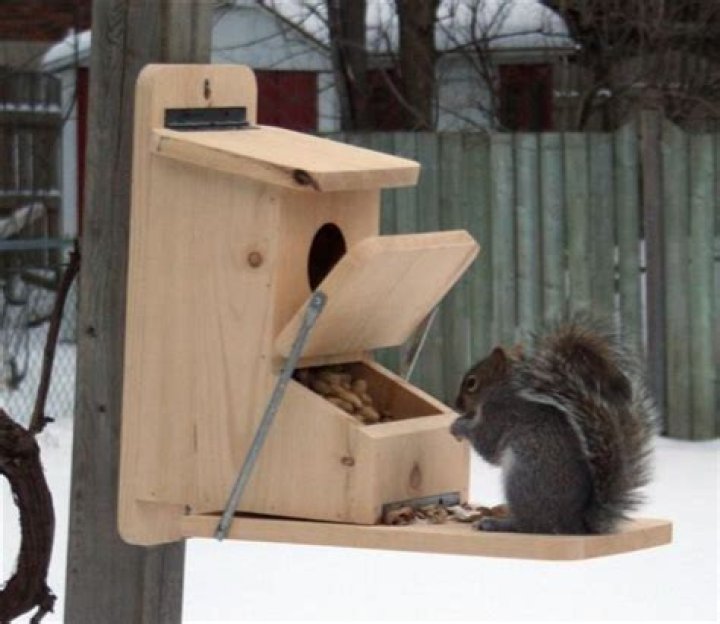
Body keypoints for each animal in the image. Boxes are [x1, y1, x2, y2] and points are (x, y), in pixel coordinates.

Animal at [450, 318, 658, 535]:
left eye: (471, 383)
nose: (456, 405)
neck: (501, 388)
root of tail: (574, 524)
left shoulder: (499, 414)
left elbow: (487, 445)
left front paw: (458, 426)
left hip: (523, 477)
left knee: (529, 525)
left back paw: (495, 523)